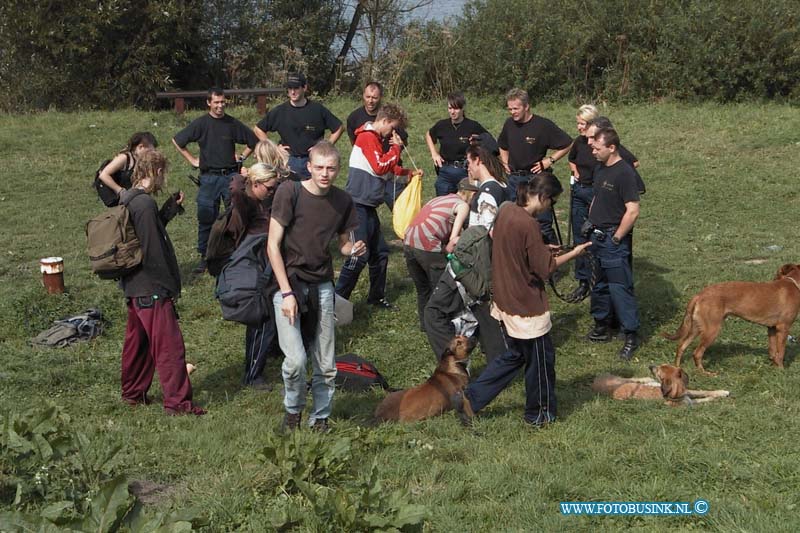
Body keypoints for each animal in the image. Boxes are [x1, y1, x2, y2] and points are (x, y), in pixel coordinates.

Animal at [664, 262, 800, 374]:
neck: (793, 284)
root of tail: (699, 295)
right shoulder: (783, 328)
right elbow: (780, 353)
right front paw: (781, 371)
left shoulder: (771, 328)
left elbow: (773, 352)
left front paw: (774, 368)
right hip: (712, 330)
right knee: (697, 353)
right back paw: (706, 373)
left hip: (696, 328)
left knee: (681, 346)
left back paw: (677, 369)